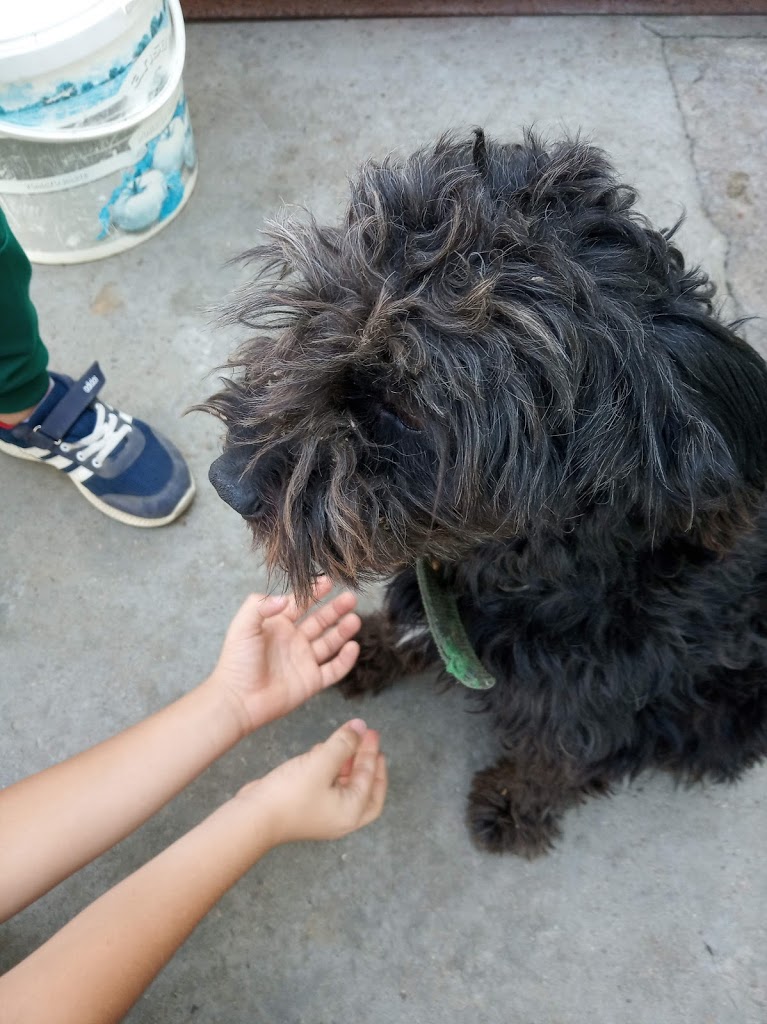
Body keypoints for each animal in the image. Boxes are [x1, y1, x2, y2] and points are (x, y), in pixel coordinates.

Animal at [203, 130, 765, 856]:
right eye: (324, 307)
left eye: (410, 407)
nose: (227, 481)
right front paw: (368, 645)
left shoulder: (585, 701)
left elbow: (558, 757)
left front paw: (514, 806)